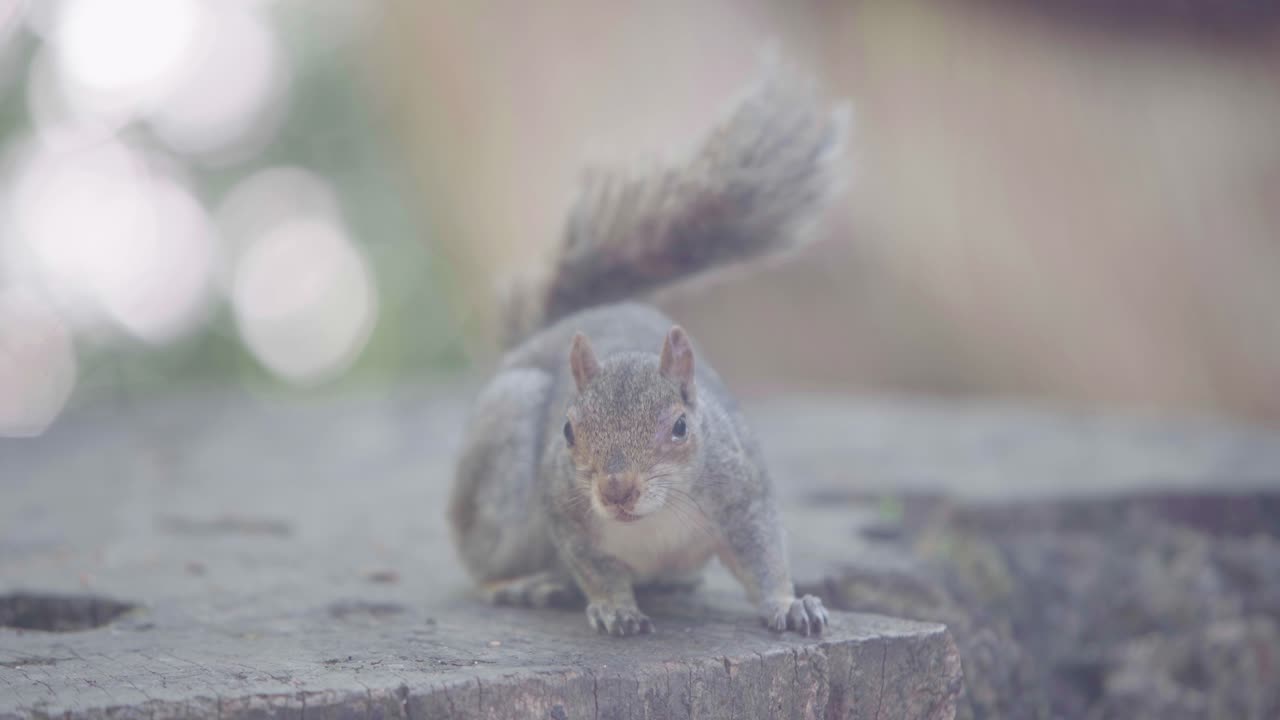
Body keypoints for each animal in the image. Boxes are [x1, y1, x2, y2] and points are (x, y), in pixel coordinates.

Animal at [448, 62, 847, 637]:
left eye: (679, 427)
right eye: (567, 431)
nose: (617, 489)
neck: (652, 518)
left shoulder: (744, 496)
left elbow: (764, 558)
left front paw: (790, 604)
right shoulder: (563, 514)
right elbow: (595, 567)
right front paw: (616, 608)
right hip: (504, 468)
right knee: (481, 567)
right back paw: (522, 585)